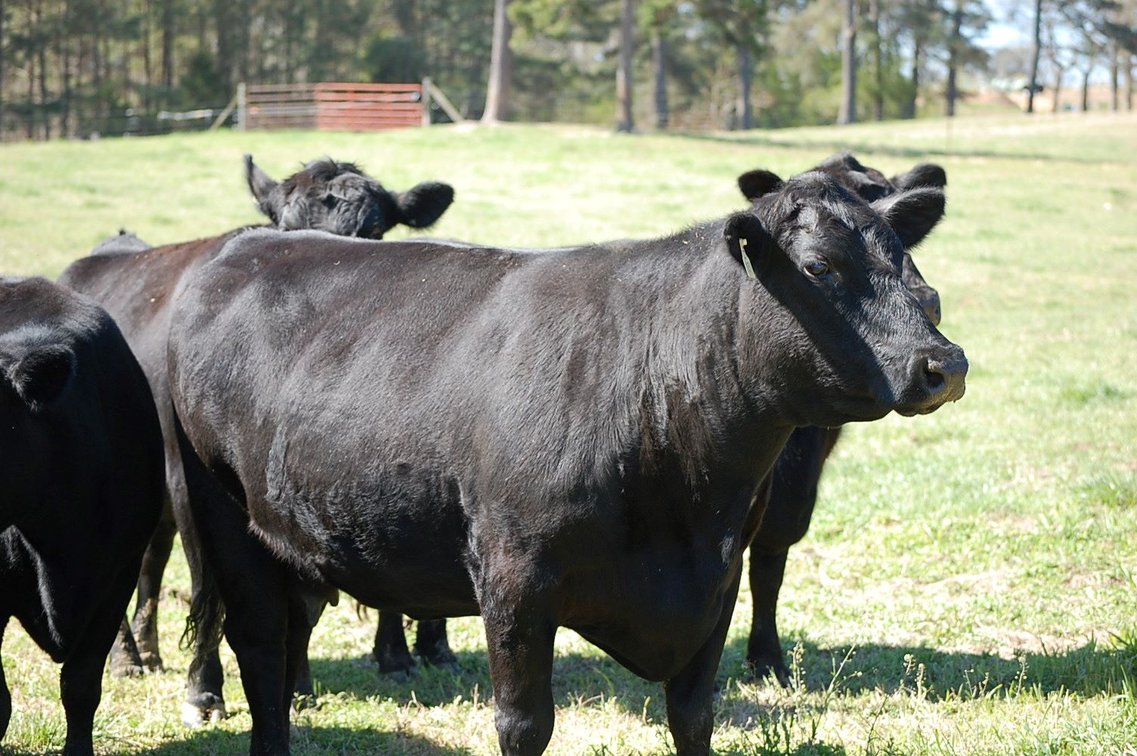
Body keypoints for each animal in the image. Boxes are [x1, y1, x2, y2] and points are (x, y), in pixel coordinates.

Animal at [56, 155, 455, 725]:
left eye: (375, 231)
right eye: (286, 229)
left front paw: (309, 682)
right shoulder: (192, 482)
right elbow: (207, 584)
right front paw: (204, 691)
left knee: (151, 560)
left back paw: (148, 651)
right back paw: (126, 658)